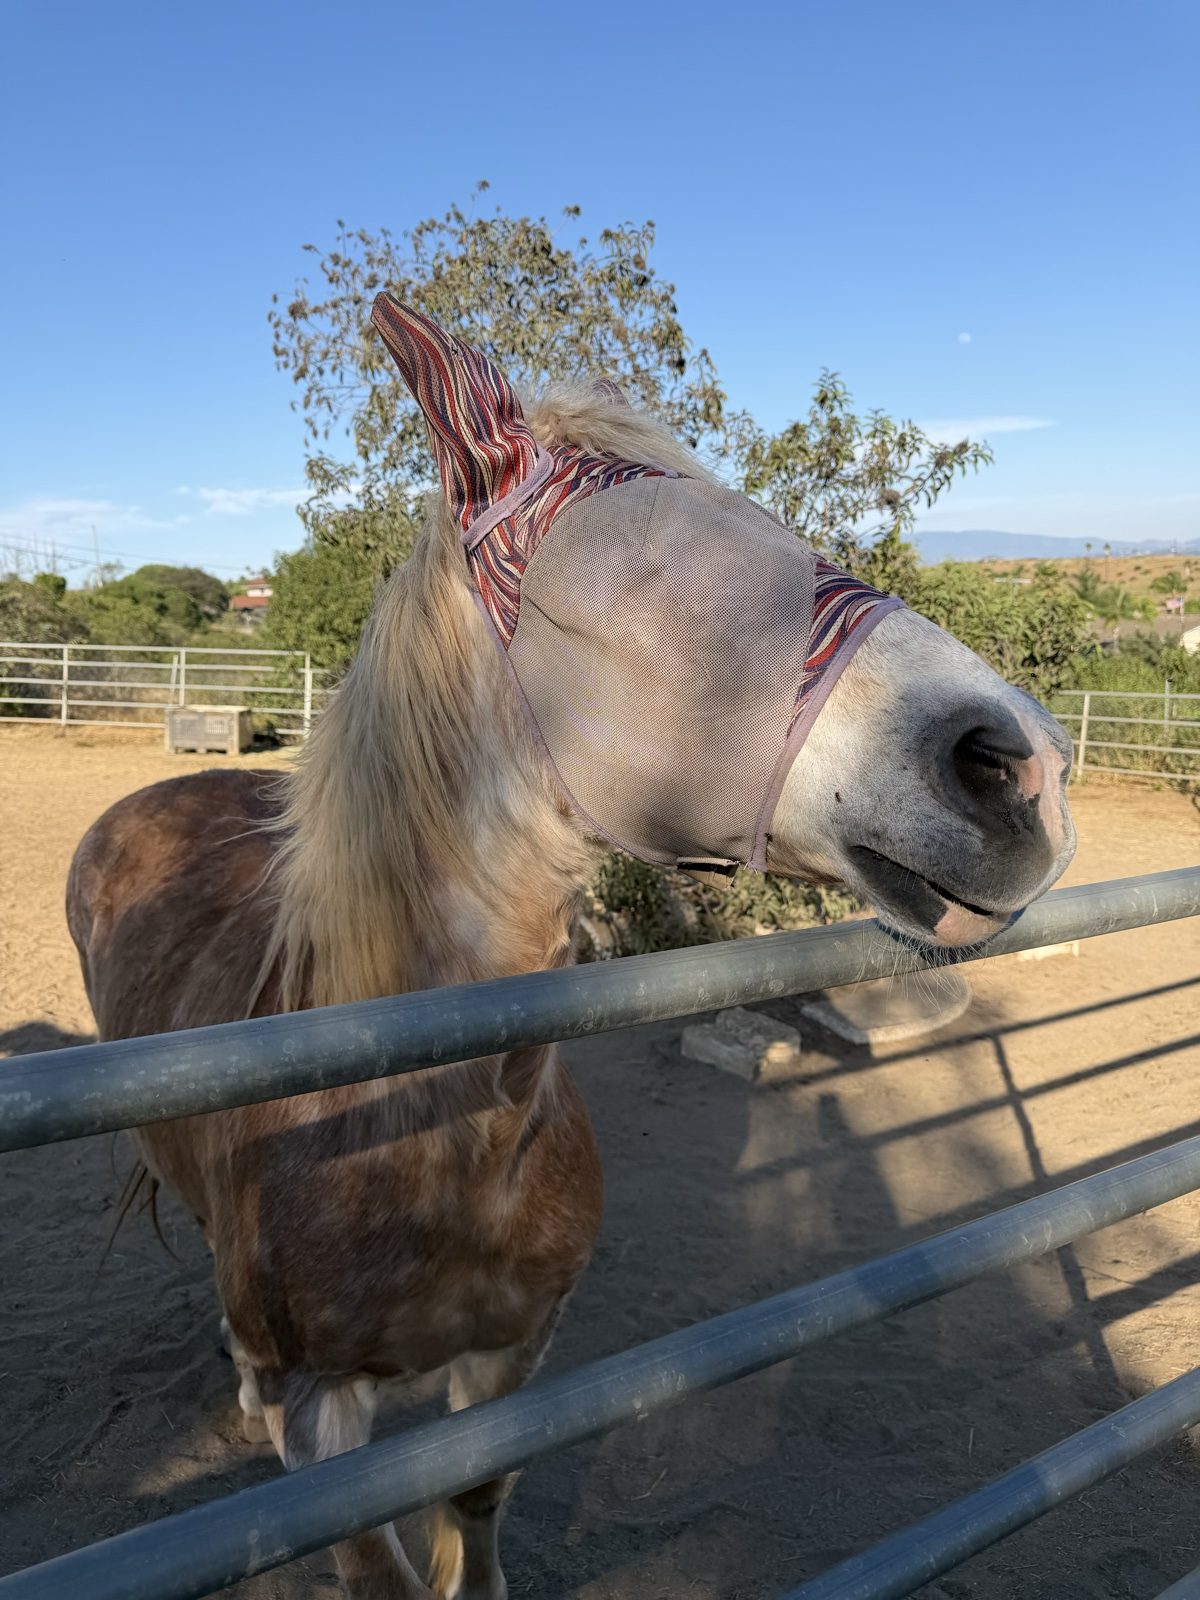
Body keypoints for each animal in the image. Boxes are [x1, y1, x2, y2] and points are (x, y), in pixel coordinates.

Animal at [66, 298, 1076, 1599]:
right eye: (652, 565)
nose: (1022, 766)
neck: (417, 1123)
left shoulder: (516, 1354)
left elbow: (476, 1503)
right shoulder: (324, 1419)